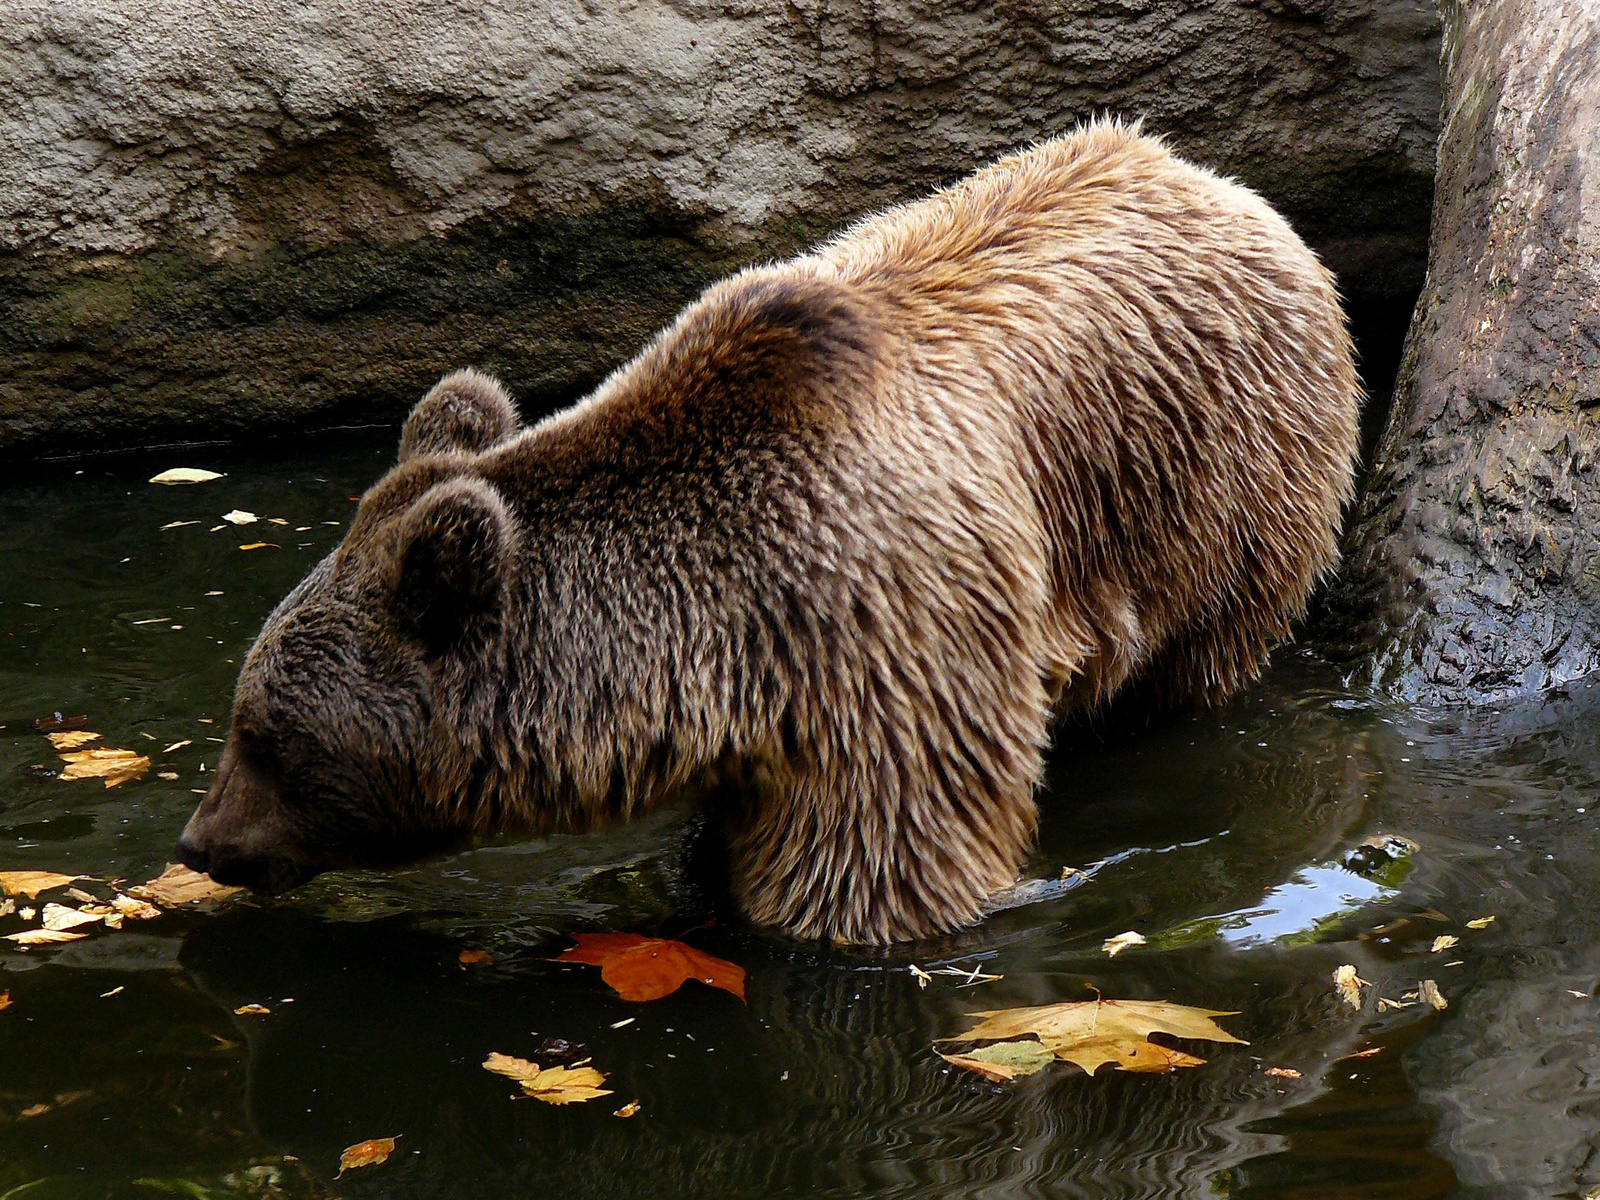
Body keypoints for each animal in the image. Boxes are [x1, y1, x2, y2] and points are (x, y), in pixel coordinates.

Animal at [178, 122, 1363, 947]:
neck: (726, 633)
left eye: (266, 734)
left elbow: (876, 880)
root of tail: (1204, 174)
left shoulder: (889, 659)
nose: (203, 841)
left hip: (1215, 491)